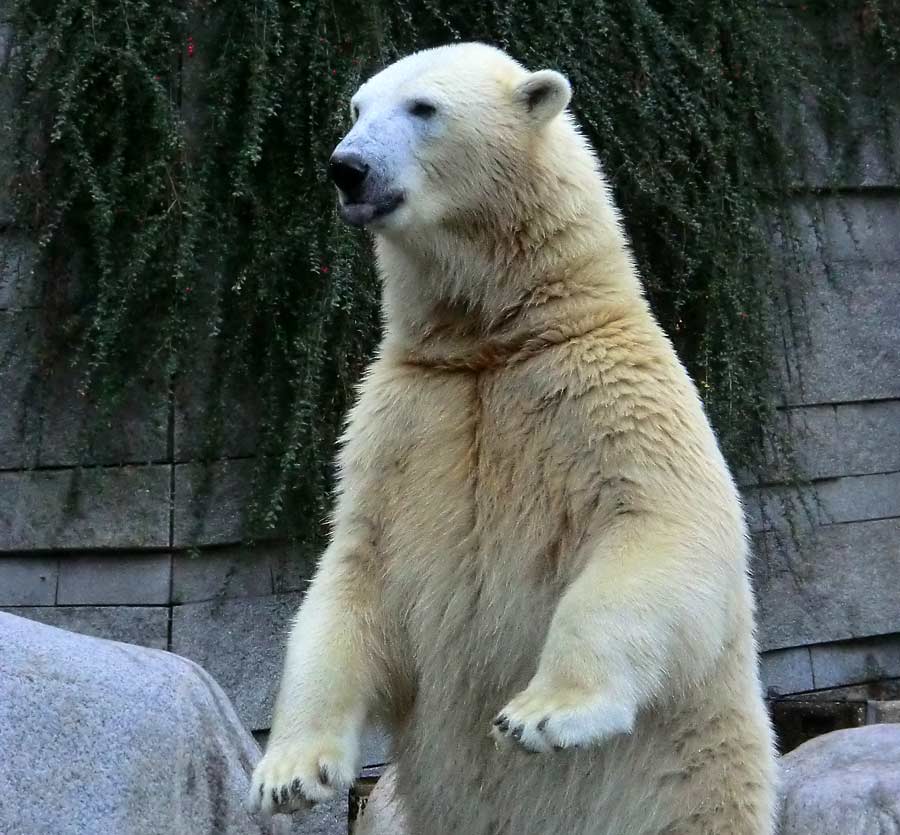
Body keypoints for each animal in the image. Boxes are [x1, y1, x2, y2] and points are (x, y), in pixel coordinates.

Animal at [250, 40, 776, 835]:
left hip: (685, 783)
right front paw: (288, 775)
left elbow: (660, 527)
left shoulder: (605, 392)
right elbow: (355, 571)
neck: (495, 343)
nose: (348, 167)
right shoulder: (403, 420)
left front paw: (542, 714)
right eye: (358, 106)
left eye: (423, 107)